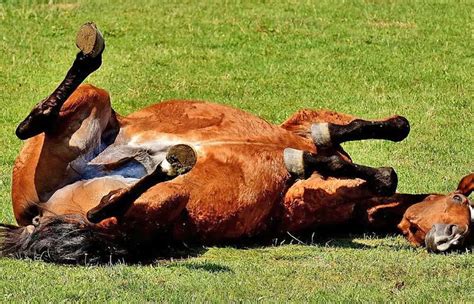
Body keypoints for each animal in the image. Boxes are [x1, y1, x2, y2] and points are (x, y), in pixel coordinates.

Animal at [0, 23, 472, 264]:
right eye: (459, 200)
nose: (450, 240)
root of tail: (34, 218)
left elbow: (354, 161)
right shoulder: (303, 127)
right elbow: (358, 144)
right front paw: (326, 157)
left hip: (157, 202)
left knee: (104, 204)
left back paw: (170, 161)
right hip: (95, 106)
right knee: (34, 125)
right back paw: (90, 54)